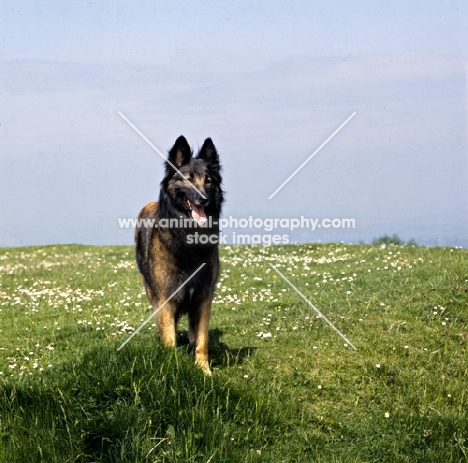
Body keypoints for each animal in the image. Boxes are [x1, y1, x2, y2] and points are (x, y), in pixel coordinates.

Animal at [134, 136, 224, 376]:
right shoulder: (166, 298)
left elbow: (202, 340)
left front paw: (204, 370)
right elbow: (169, 338)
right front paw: (172, 366)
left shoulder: (203, 297)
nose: (203, 199)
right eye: (188, 179)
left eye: (208, 181)